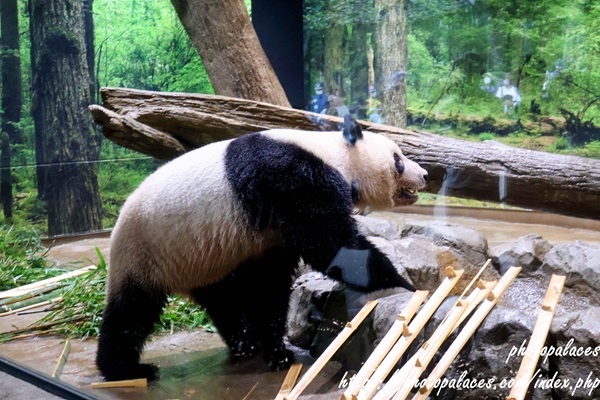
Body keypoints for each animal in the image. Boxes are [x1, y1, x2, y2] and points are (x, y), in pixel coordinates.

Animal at [96, 115, 428, 382]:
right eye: (398, 159)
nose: (424, 174)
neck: (332, 153)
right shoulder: (291, 180)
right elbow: (332, 244)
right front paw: (404, 284)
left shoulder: (269, 238)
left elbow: (269, 286)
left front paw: (277, 352)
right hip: (147, 251)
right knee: (132, 312)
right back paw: (125, 369)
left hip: (208, 257)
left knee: (223, 299)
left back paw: (244, 342)